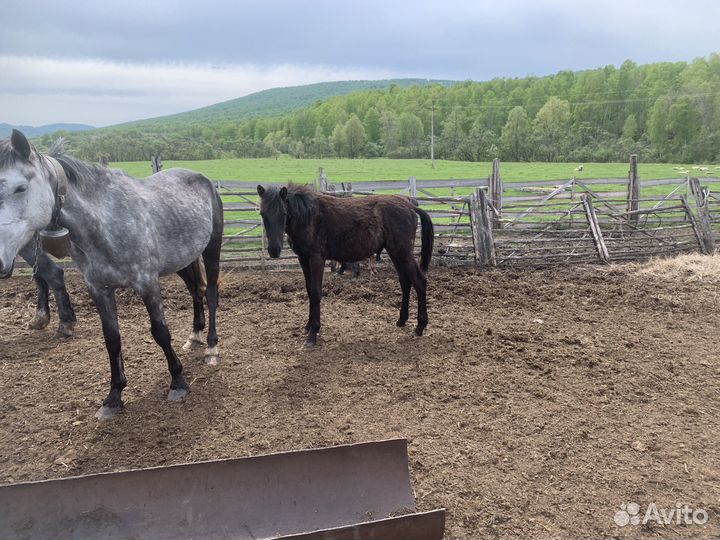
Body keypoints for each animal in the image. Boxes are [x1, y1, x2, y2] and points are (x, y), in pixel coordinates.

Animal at [0, 130, 223, 419]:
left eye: (20, 188)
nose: (0, 260)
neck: (105, 222)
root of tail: (202, 179)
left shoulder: (147, 282)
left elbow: (160, 332)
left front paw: (178, 382)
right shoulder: (99, 289)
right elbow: (112, 339)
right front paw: (114, 397)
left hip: (212, 248)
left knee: (211, 295)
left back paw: (211, 347)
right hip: (182, 260)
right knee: (196, 291)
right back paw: (194, 335)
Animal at [257, 184, 433, 347]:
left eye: (283, 214)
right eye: (262, 214)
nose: (274, 250)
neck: (309, 216)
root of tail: (411, 205)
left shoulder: (316, 258)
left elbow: (315, 292)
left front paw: (313, 333)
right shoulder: (303, 259)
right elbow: (308, 290)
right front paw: (308, 326)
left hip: (403, 253)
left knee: (419, 282)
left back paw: (420, 327)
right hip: (395, 252)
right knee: (405, 282)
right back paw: (401, 321)